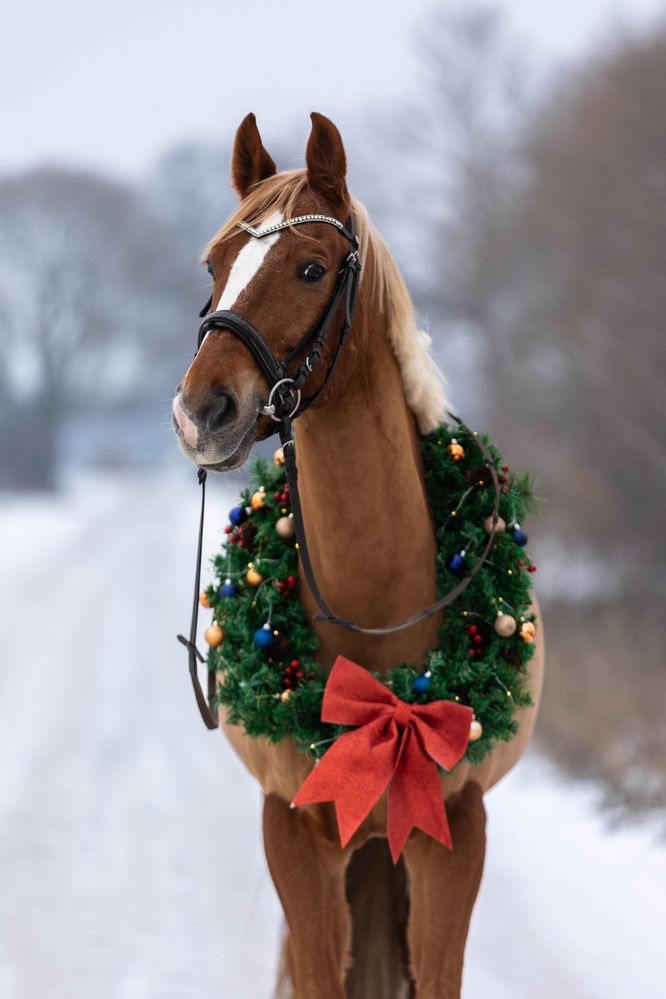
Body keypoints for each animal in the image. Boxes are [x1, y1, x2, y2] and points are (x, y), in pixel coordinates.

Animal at [172, 113, 544, 996]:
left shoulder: (455, 832)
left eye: (310, 267)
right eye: (215, 264)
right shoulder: (294, 831)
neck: (378, 611)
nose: (201, 411)